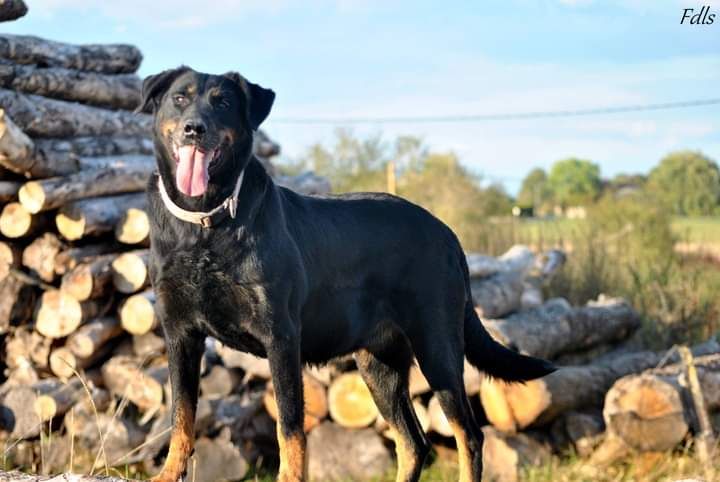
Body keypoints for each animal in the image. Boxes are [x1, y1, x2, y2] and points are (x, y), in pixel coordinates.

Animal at [141, 67, 556, 482]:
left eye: (223, 102)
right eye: (180, 98)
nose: (194, 129)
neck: (205, 225)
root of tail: (448, 233)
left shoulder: (281, 339)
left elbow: (289, 428)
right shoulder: (180, 335)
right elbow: (180, 417)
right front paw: (168, 474)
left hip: (437, 345)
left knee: (468, 434)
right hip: (379, 364)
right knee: (414, 442)